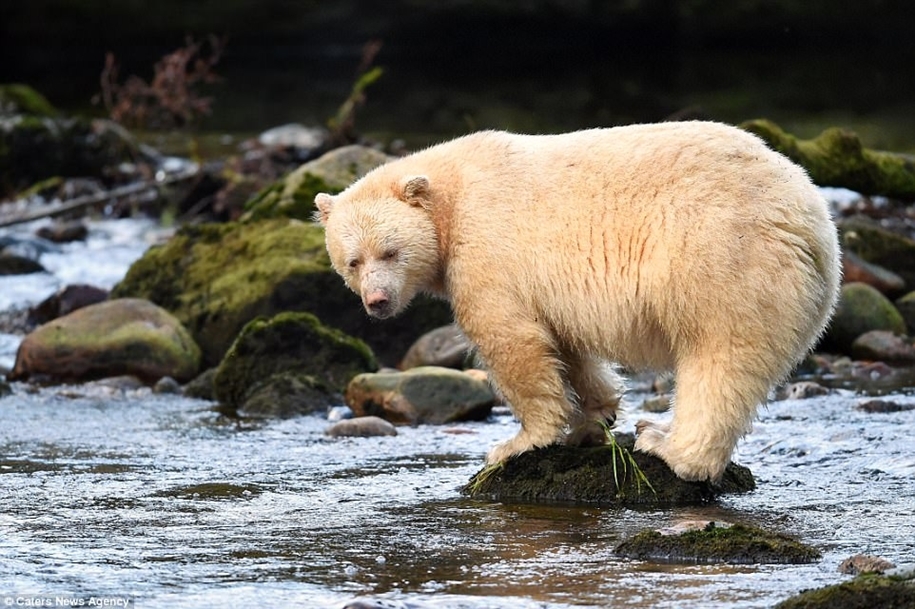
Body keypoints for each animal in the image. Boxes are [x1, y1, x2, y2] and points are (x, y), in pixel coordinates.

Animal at [316, 121, 844, 482]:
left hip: (722, 258)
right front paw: (595, 417)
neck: (450, 197)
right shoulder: (551, 290)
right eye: (352, 261)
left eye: (390, 251)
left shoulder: (487, 250)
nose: (377, 301)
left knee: (719, 359)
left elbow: (511, 341)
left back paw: (666, 445)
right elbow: (566, 344)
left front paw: (519, 442)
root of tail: (811, 220)